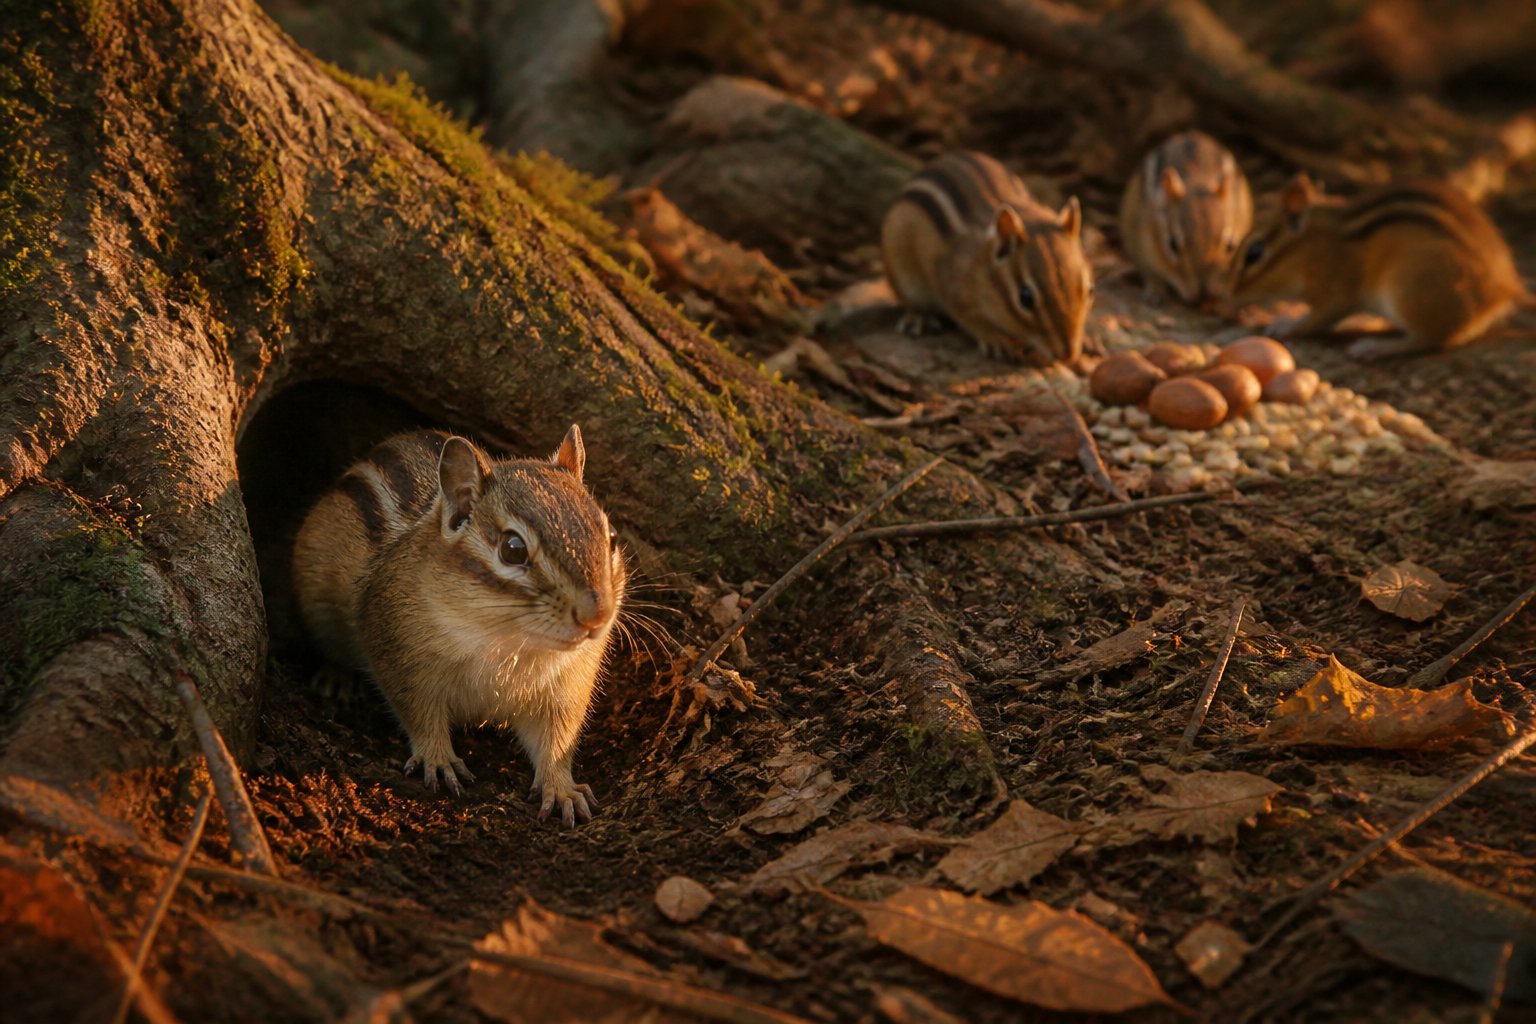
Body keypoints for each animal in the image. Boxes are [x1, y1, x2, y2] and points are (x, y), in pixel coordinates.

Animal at [291, 426, 626, 827]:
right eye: (513, 549)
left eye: (611, 539)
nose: (597, 616)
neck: (510, 641)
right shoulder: (401, 657)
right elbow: (419, 715)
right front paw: (438, 759)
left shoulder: (565, 687)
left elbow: (557, 740)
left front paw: (562, 788)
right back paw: (336, 678)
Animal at [881, 150, 1093, 366]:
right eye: (1025, 298)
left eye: (1089, 290)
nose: (1068, 354)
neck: (983, 260)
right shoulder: (953, 288)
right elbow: (971, 319)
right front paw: (996, 340)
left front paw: (1086, 340)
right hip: (901, 272)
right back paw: (919, 317)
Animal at [1119, 130, 1253, 306]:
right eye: (1173, 244)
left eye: (1230, 246)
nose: (1203, 293)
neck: (1196, 181)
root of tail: (1191, 134)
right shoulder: (1139, 243)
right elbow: (1149, 271)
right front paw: (1156, 291)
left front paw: (1224, 292)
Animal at [1225, 173, 1533, 359]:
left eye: (1254, 253)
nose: (1226, 294)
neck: (1315, 245)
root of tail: (1506, 289)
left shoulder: (1336, 290)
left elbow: (1319, 318)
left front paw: (1285, 323)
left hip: (1408, 290)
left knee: (1436, 339)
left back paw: (1376, 346)